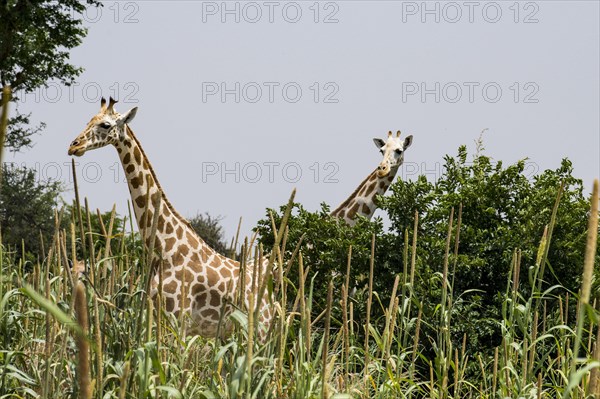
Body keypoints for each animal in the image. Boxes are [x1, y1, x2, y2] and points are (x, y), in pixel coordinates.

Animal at [68, 98, 272, 340]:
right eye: (89, 121)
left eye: (105, 125)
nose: (74, 146)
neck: (164, 248)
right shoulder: (158, 316)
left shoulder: (179, 318)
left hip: (260, 330)